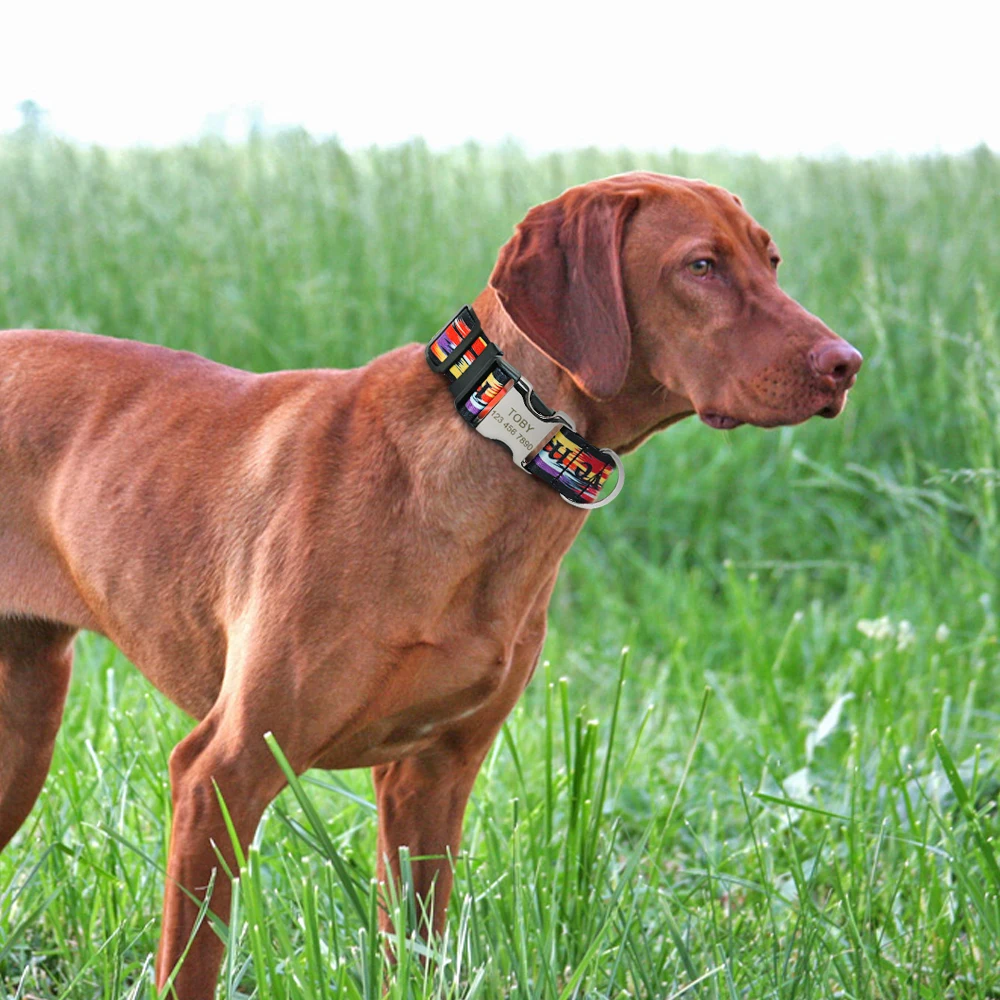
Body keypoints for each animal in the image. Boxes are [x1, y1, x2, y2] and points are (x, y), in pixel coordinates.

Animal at [0, 172, 860, 992]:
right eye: (701, 266)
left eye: (771, 261)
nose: (845, 363)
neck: (497, 441)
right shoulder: (221, 771)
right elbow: (193, 966)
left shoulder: (432, 779)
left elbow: (416, 954)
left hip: (26, 728)